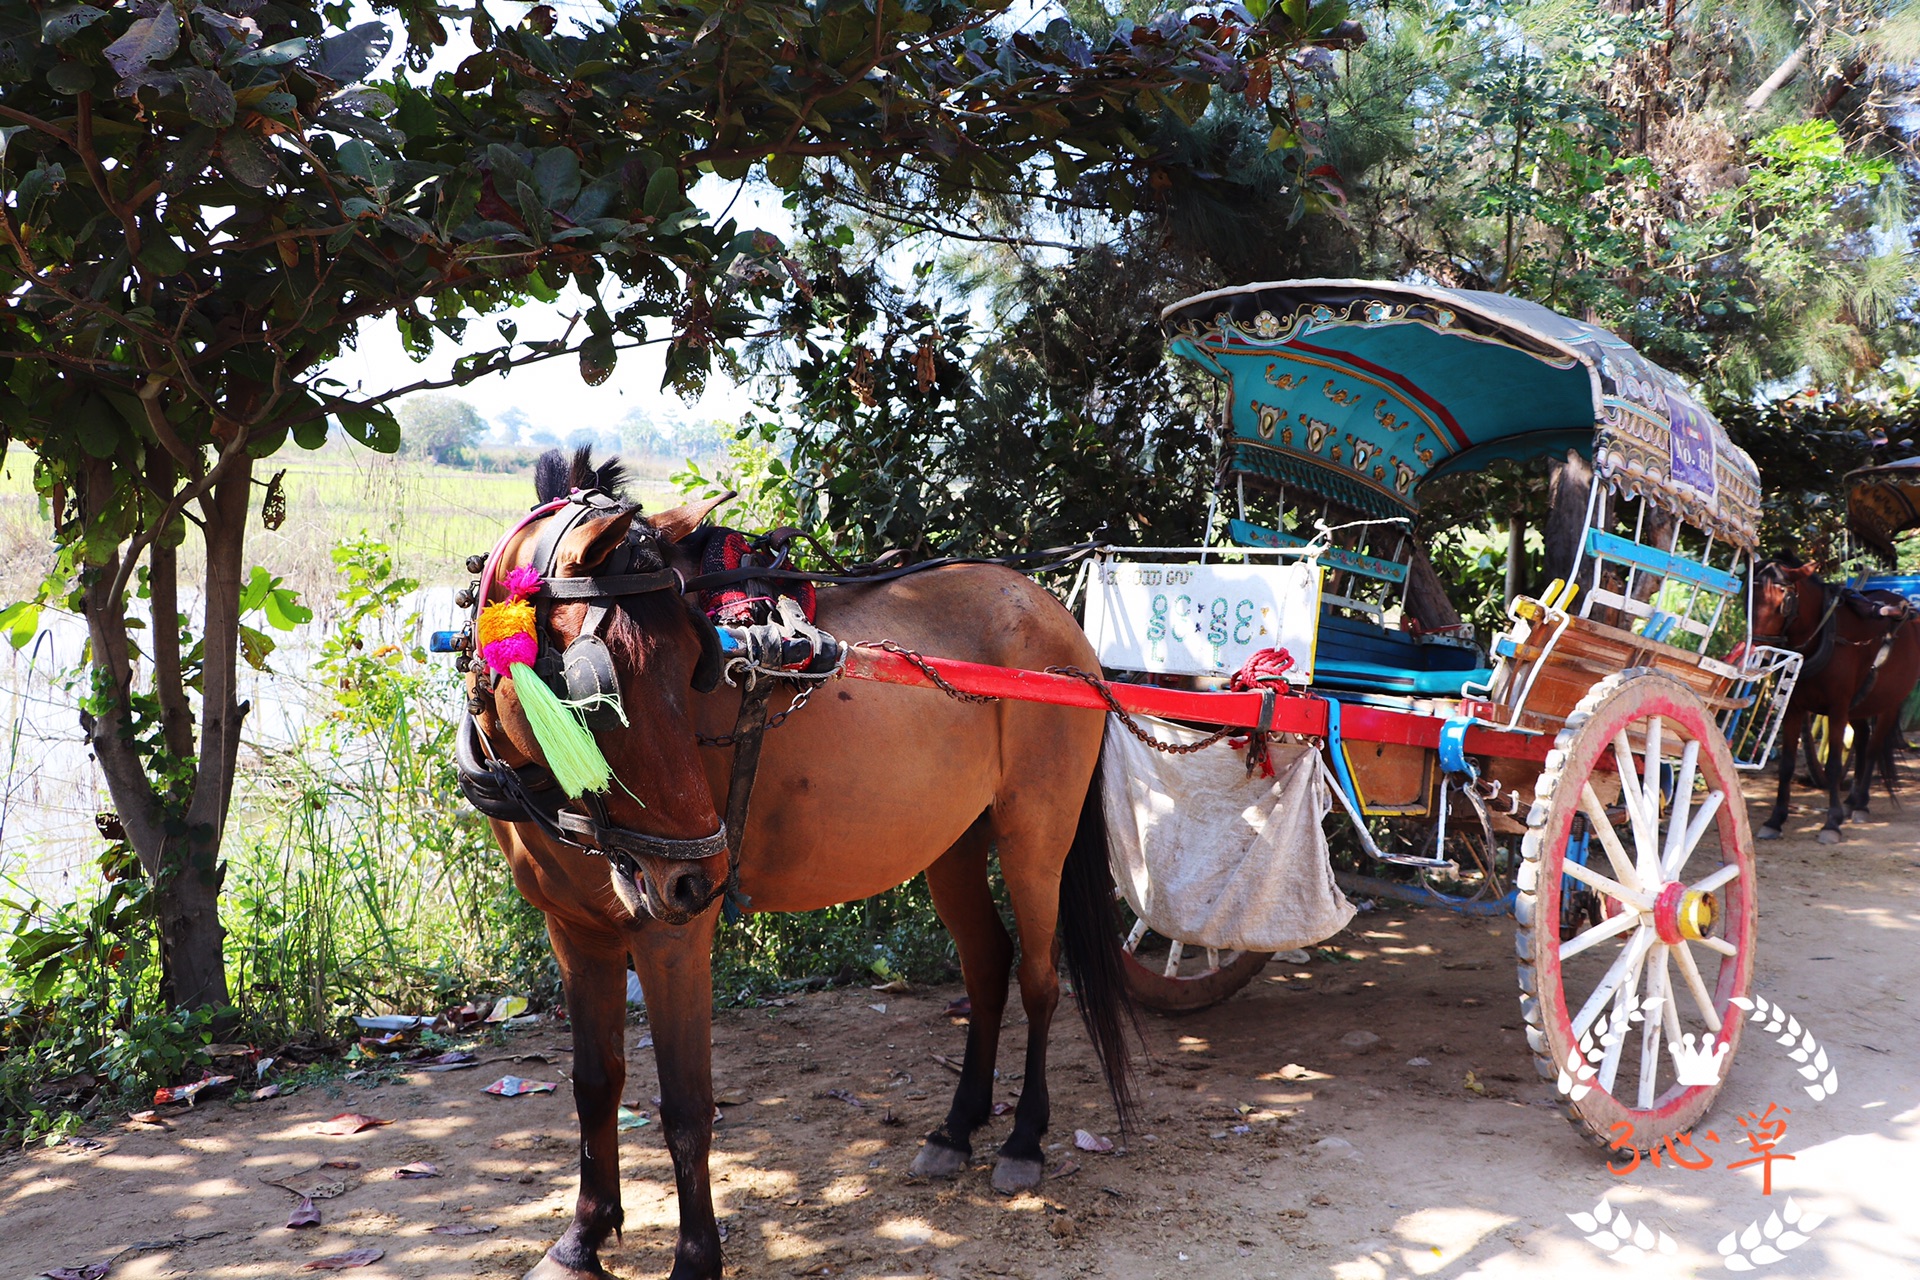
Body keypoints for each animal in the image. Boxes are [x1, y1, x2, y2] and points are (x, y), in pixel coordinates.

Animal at [468, 452, 1121, 1280]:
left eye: (697, 665)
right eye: (594, 690)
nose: (695, 878)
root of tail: (1053, 613)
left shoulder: (672, 934)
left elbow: (687, 1106)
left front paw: (695, 1259)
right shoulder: (575, 932)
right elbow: (594, 1084)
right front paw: (582, 1238)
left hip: (1036, 833)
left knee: (1038, 978)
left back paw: (1024, 1139)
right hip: (951, 841)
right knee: (987, 966)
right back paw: (955, 1129)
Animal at [1758, 556, 1920, 840]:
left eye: (1783, 601)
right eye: (1749, 593)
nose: (1758, 646)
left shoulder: (1837, 709)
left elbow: (1833, 765)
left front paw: (1831, 823)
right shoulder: (1793, 708)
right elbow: (1787, 764)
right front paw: (1775, 820)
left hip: (1888, 702)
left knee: (1873, 748)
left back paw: (1861, 803)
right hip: (1859, 703)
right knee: (1862, 738)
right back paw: (1852, 800)